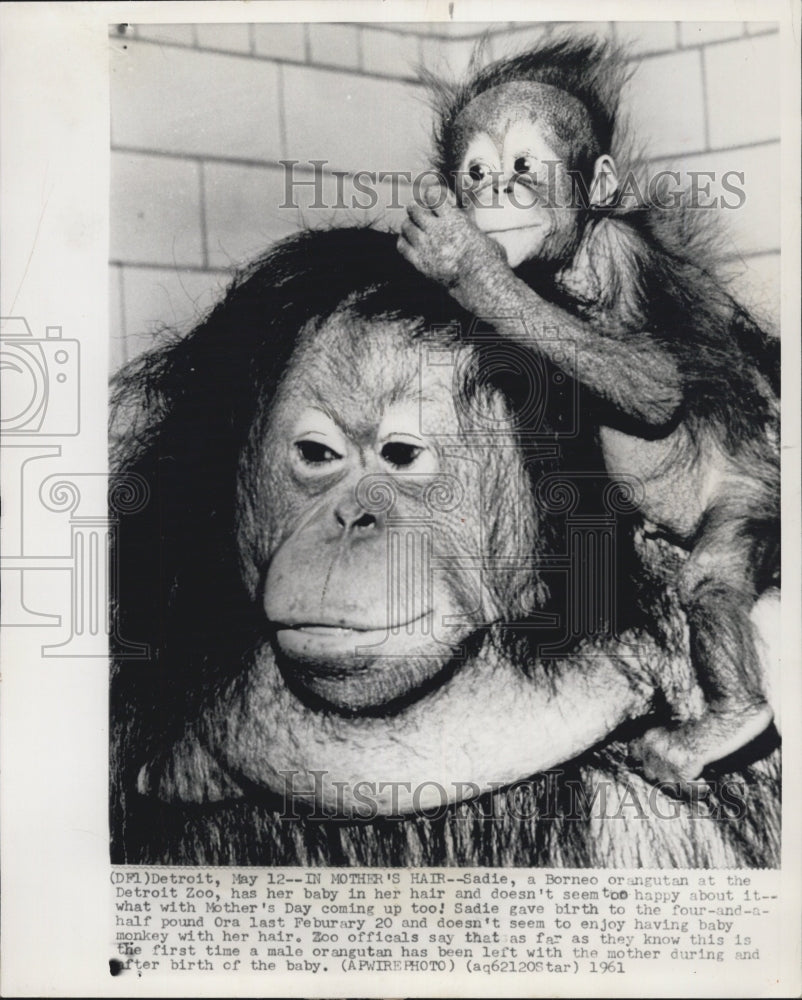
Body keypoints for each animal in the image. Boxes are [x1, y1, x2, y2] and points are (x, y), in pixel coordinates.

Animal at [397, 35, 780, 790]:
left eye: (523, 166)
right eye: (476, 171)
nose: (495, 189)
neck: (561, 269)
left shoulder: (619, 258)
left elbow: (658, 385)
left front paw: (471, 268)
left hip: (760, 490)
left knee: (710, 577)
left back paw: (731, 723)